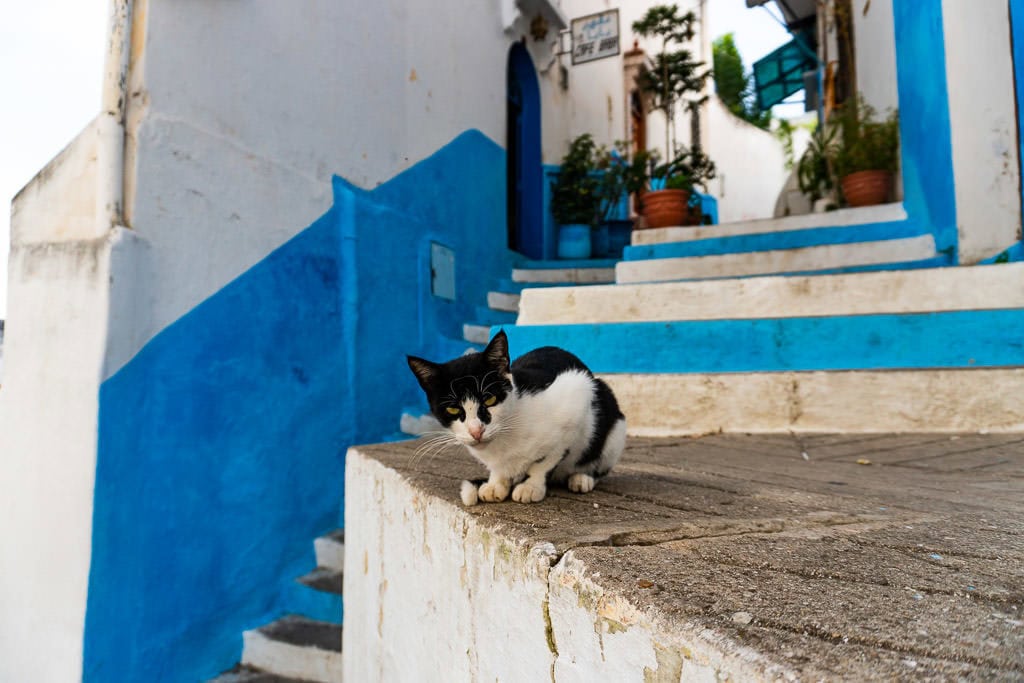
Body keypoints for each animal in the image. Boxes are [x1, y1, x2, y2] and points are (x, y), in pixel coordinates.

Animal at [405, 327, 622, 505]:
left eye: (490, 399)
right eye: (453, 409)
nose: (476, 431)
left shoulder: (575, 398)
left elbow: (545, 461)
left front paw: (530, 486)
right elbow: (499, 469)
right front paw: (496, 483)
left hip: (610, 419)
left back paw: (582, 477)